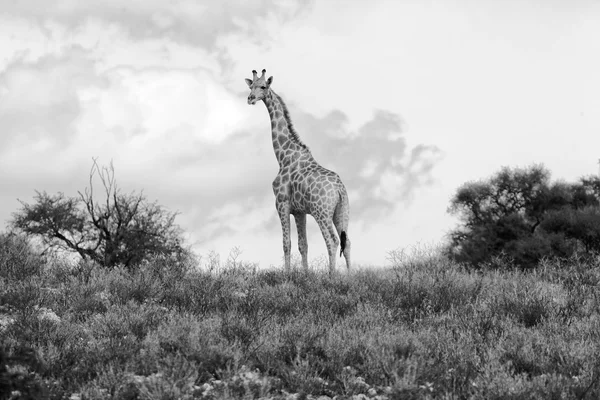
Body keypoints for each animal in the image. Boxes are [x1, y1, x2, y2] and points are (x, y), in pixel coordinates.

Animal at [245, 69, 352, 276]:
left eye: (263, 86)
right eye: (250, 86)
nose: (250, 98)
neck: (283, 156)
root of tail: (339, 189)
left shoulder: (282, 204)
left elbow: (286, 243)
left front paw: (287, 274)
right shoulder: (299, 211)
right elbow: (303, 245)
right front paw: (305, 274)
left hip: (321, 212)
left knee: (333, 241)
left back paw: (332, 275)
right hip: (342, 212)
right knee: (347, 242)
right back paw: (351, 276)